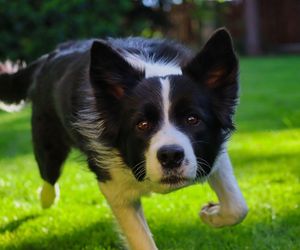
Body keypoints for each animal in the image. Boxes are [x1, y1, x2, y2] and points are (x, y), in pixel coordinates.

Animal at [1, 28, 247, 249]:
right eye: (142, 124)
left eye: (192, 119)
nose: (170, 156)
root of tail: (50, 56)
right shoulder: (113, 185)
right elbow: (141, 240)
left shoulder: (212, 152)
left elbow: (238, 207)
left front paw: (211, 214)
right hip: (48, 143)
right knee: (49, 178)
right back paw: (46, 199)